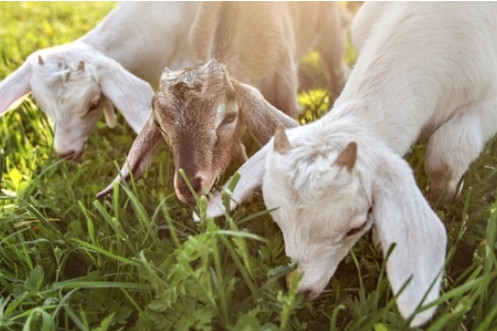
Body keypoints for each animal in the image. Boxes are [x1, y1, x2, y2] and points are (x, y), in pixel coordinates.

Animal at [201, 1, 497, 326]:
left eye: (356, 227)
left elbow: (448, 151)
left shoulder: (488, 100)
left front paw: (447, 196)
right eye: (276, 216)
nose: (299, 289)